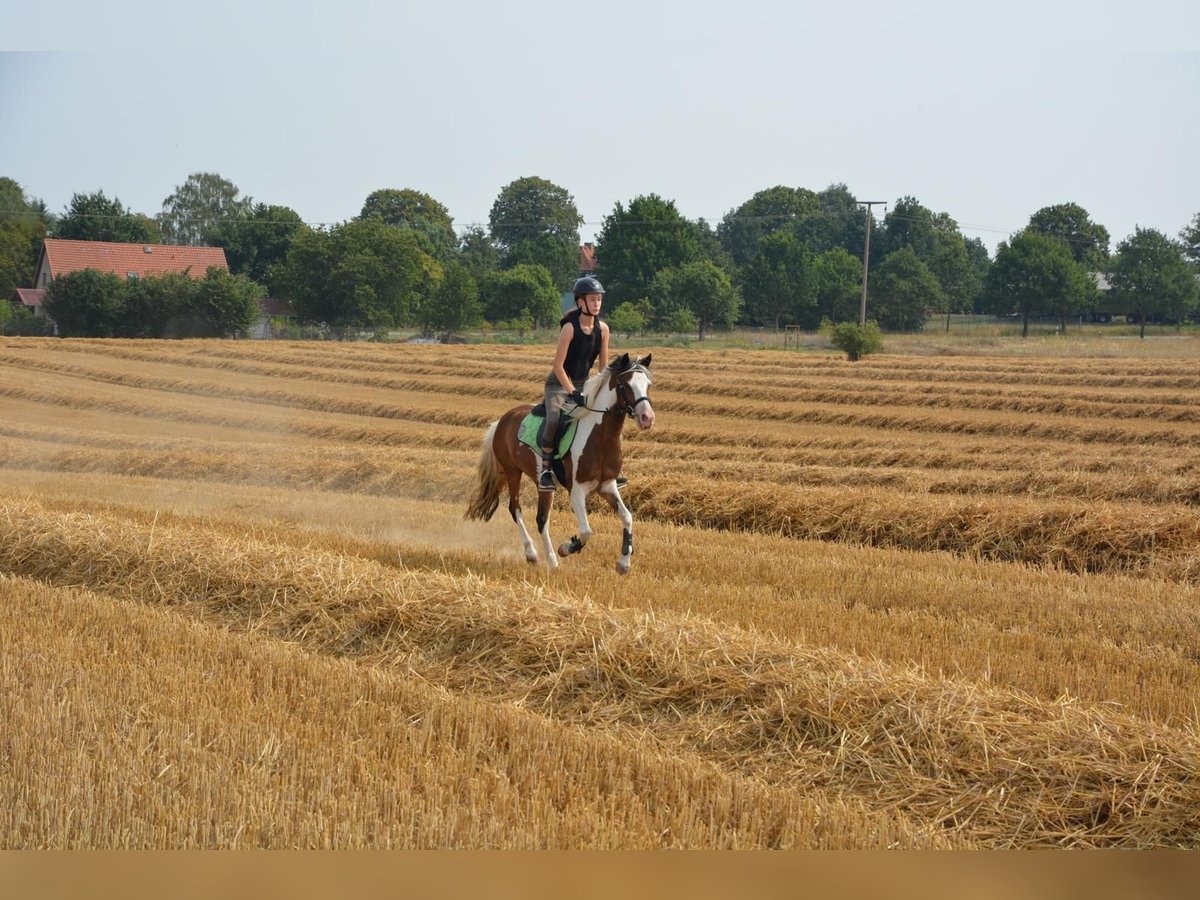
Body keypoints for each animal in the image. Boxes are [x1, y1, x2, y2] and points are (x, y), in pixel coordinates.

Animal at [465, 348, 657, 573]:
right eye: (624, 385)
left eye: (648, 384)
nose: (647, 418)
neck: (600, 436)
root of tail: (502, 420)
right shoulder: (577, 490)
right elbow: (586, 531)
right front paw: (567, 548)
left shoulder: (607, 486)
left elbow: (627, 517)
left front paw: (624, 562)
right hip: (513, 471)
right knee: (518, 509)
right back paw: (539, 556)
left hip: (542, 485)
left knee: (542, 519)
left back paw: (547, 558)